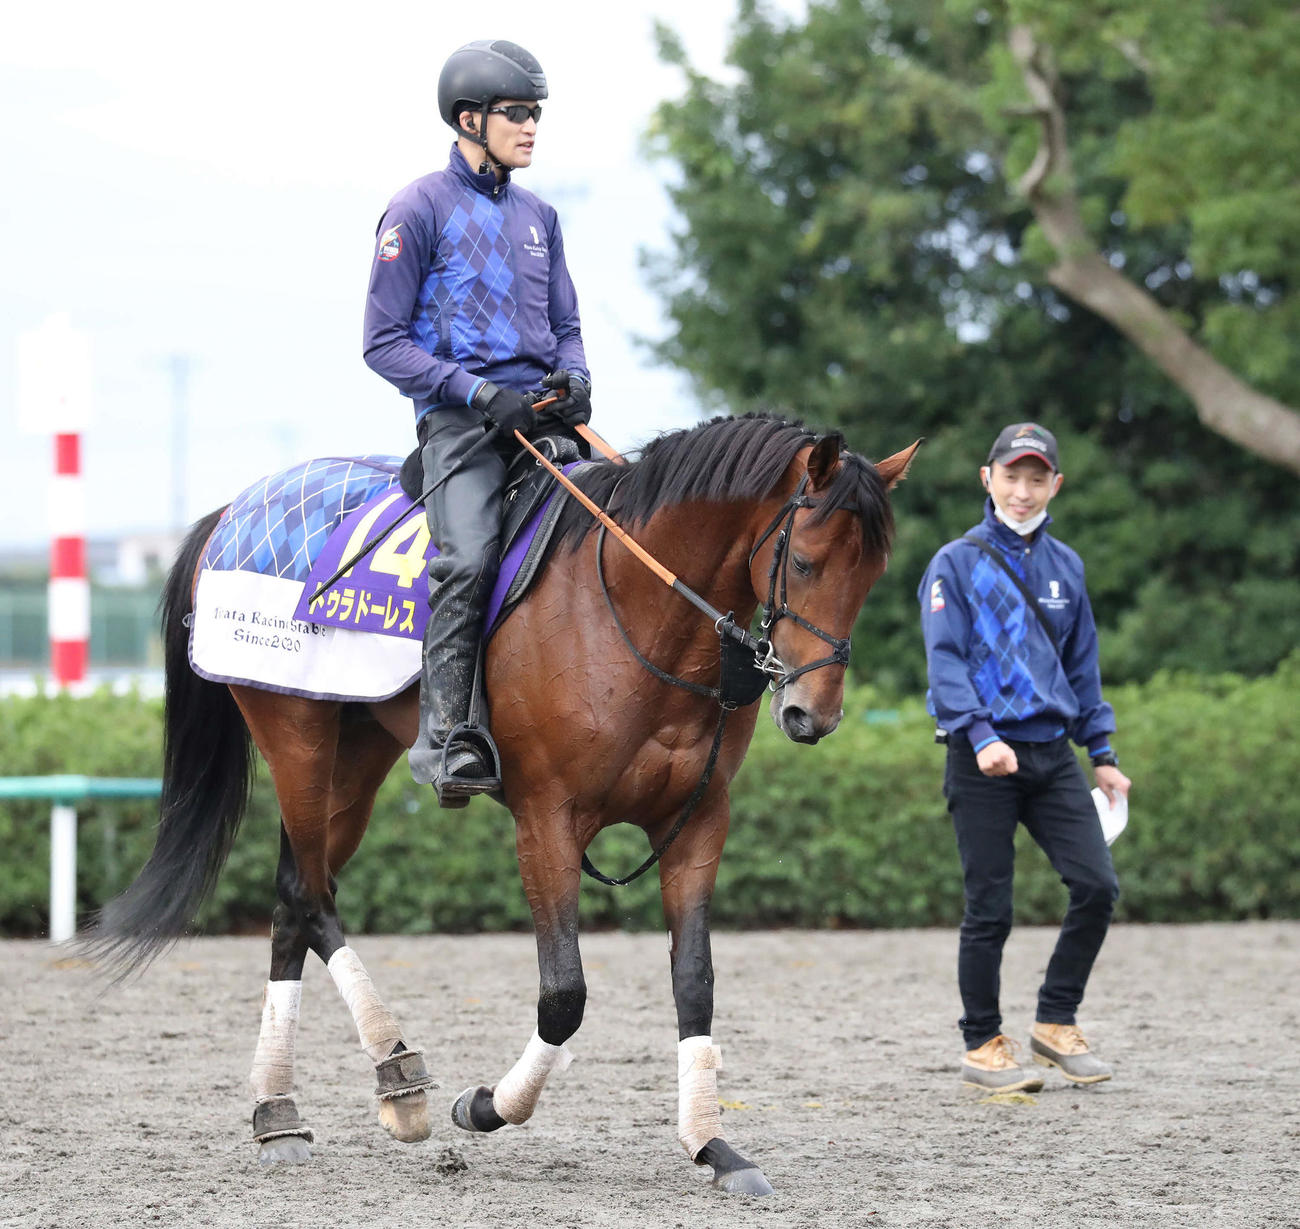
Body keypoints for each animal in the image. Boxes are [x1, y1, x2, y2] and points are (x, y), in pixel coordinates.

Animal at [89, 412, 919, 1195]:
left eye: (874, 571)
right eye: (804, 560)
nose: (813, 713)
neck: (635, 612)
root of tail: (233, 509)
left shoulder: (697, 823)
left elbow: (695, 980)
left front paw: (713, 1145)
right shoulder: (547, 820)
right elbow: (565, 994)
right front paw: (487, 1104)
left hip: (355, 758)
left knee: (296, 894)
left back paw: (292, 1105)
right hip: (296, 737)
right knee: (313, 896)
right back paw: (380, 1077)